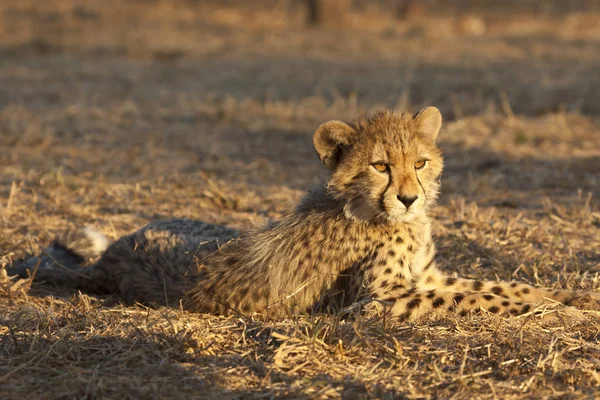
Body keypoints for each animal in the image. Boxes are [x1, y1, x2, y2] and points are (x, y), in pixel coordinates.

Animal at [8, 108, 600, 320]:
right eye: (381, 166)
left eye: (421, 162)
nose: (409, 198)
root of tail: (114, 254)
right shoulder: (375, 302)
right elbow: (476, 297)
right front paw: (553, 311)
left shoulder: (425, 275)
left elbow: (496, 285)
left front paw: (566, 298)